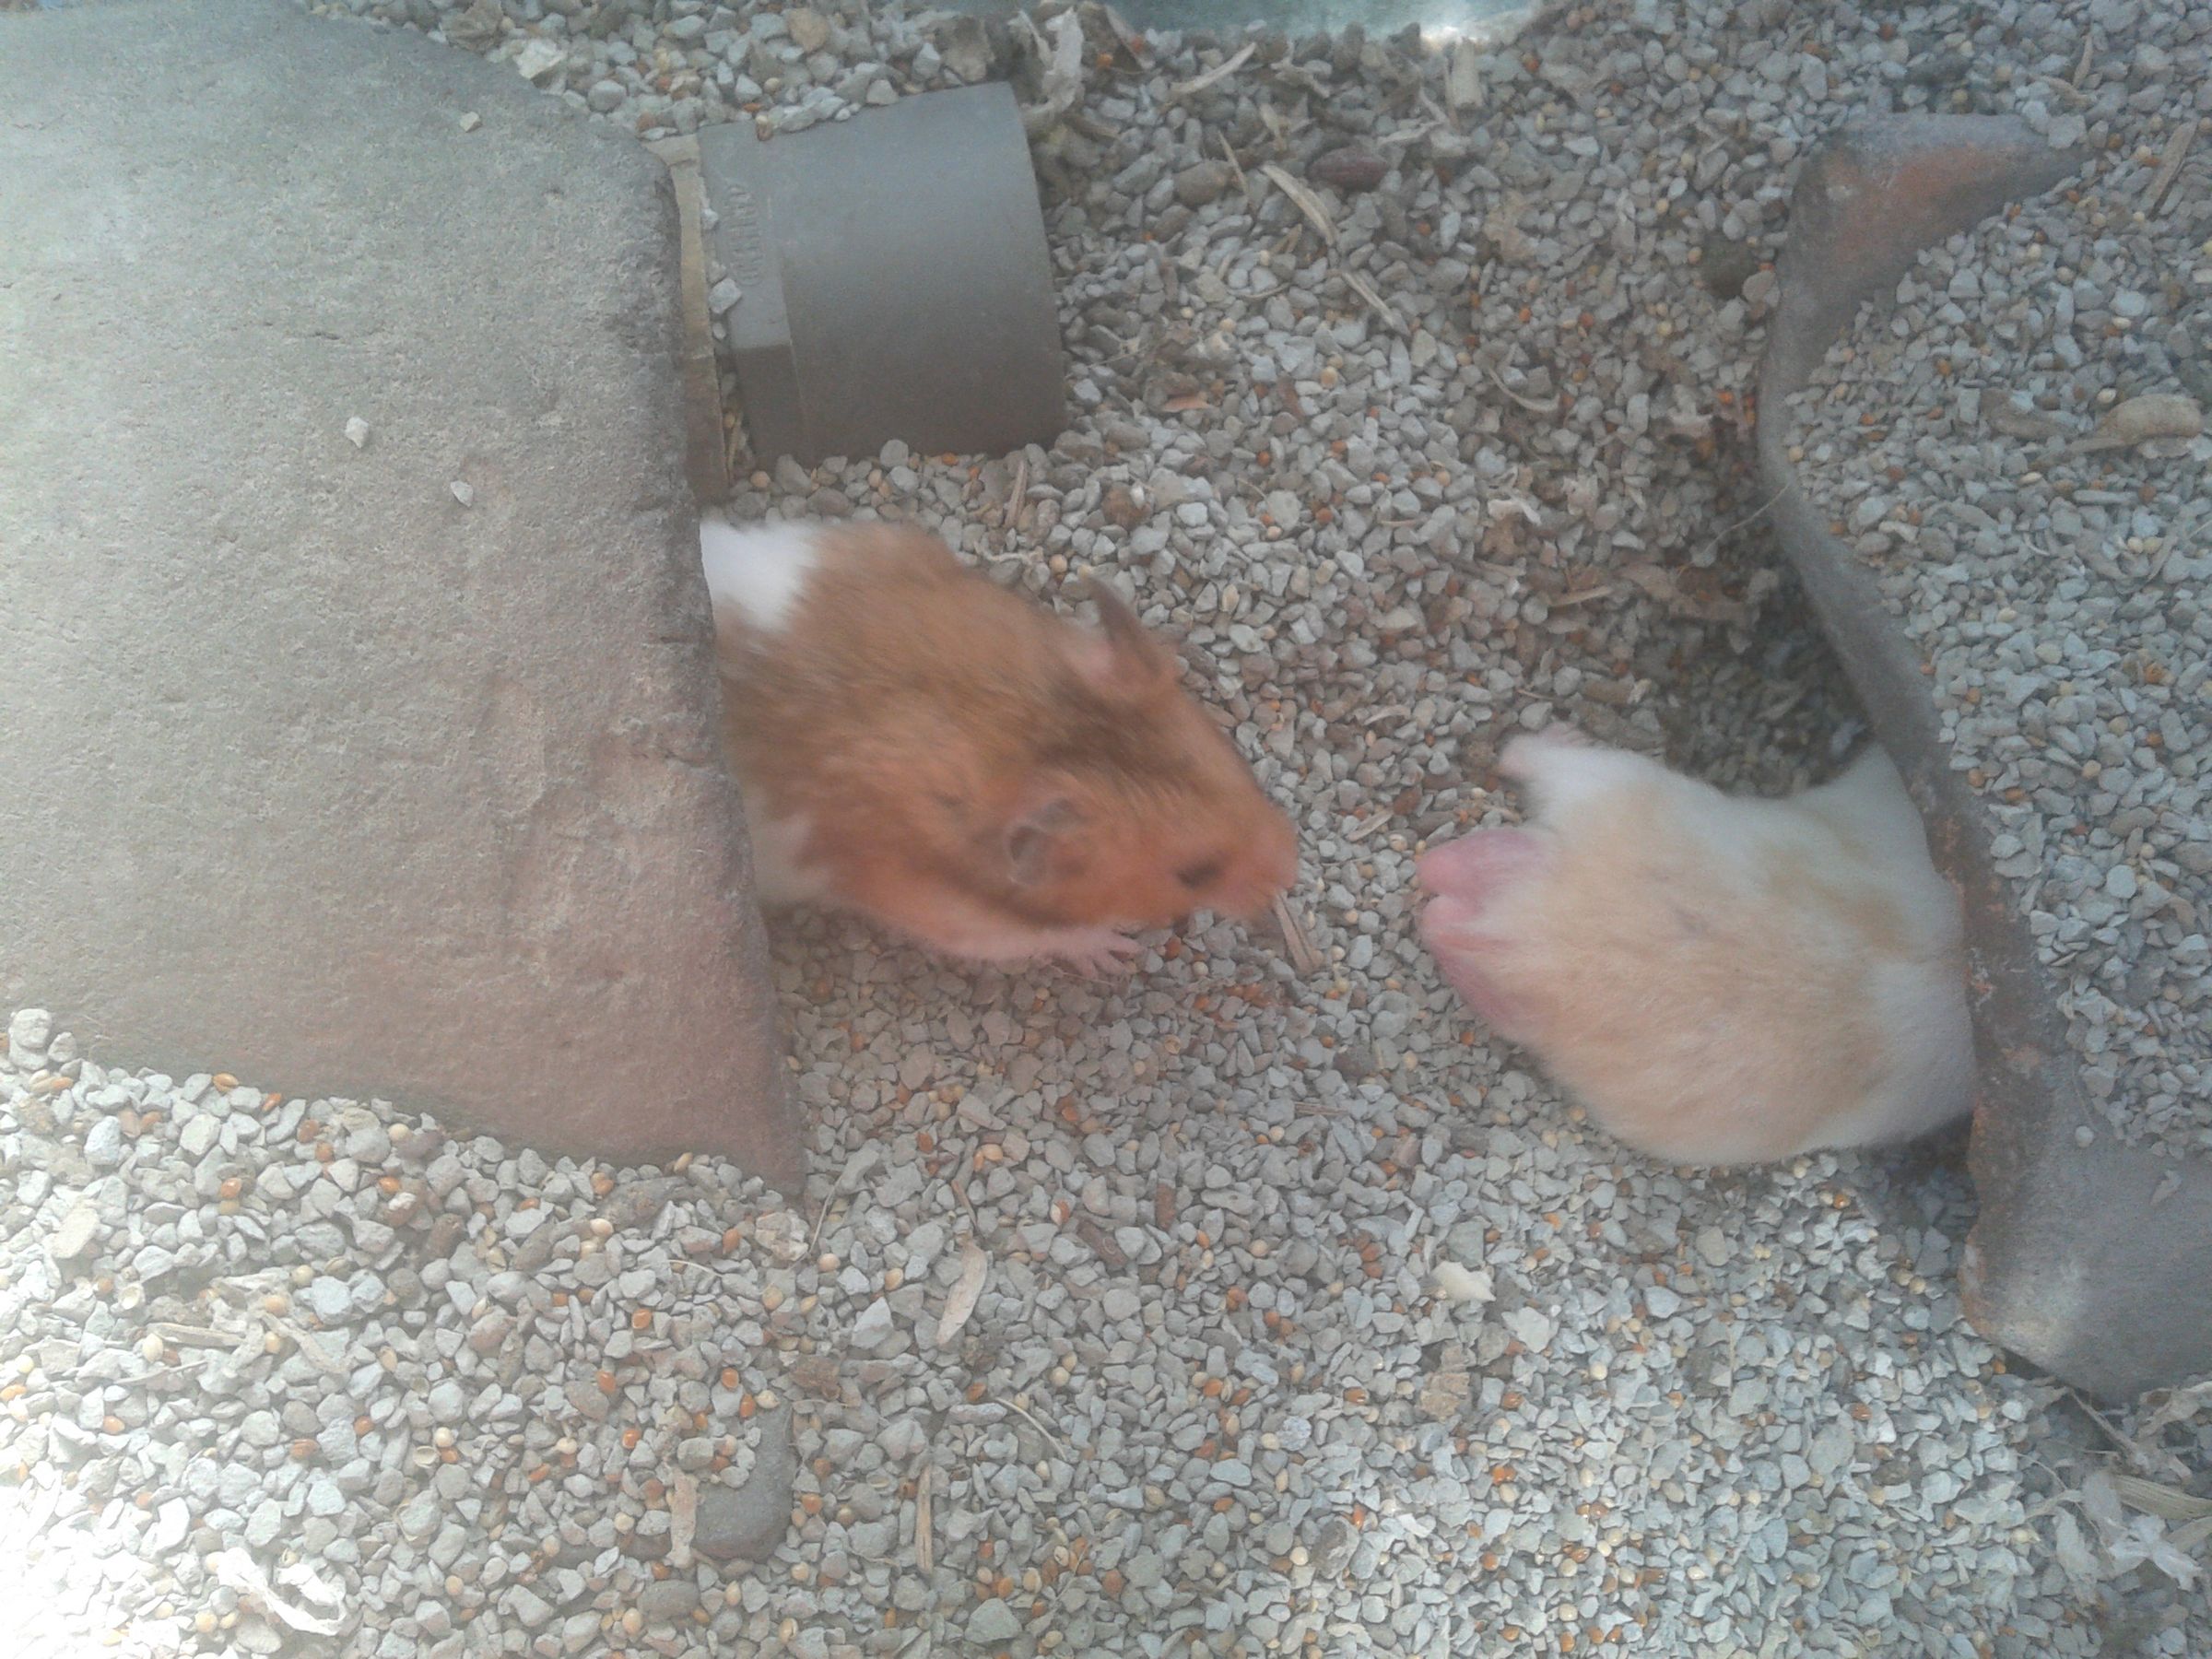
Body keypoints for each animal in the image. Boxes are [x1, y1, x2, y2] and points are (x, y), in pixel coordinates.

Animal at [701, 514, 1299, 972]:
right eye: (1195, 874)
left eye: (1240, 766)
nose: (1289, 870)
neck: (1012, 724)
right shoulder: (924, 897)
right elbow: (1027, 935)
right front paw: (1114, 953)